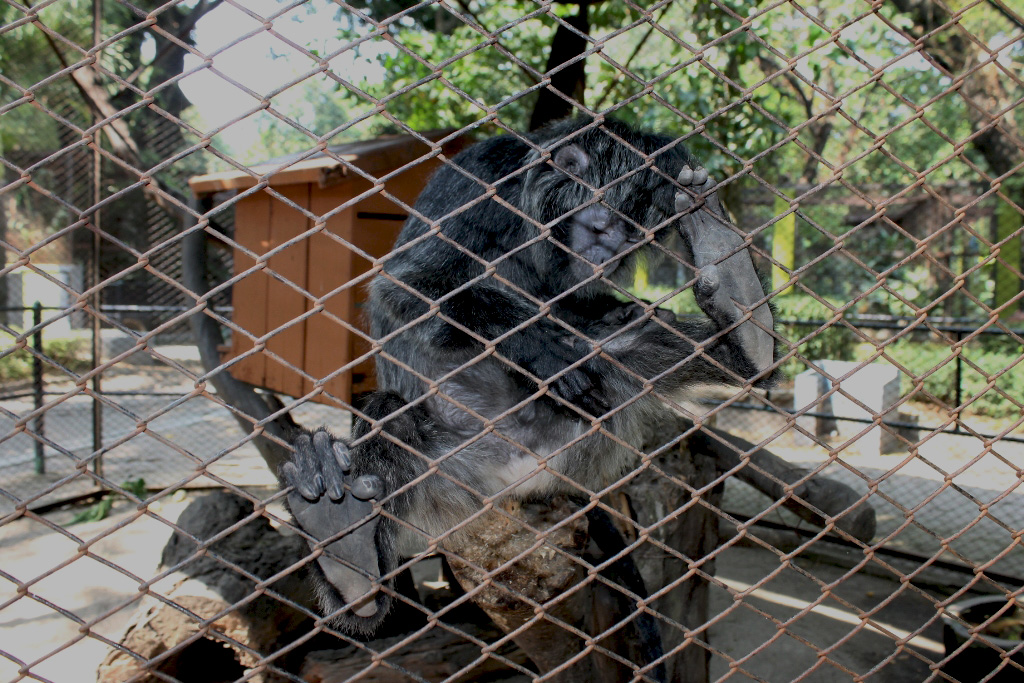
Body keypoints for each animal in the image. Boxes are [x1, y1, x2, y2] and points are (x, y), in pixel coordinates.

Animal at [276, 116, 770, 634]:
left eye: (631, 239)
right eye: (600, 226)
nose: (607, 256)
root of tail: (516, 474)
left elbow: (585, 308)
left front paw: (609, 312)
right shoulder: (479, 182)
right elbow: (411, 285)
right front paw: (540, 353)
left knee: (624, 354)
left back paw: (745, 318)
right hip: (451, 474)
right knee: (391, 413)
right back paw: (348, 559)